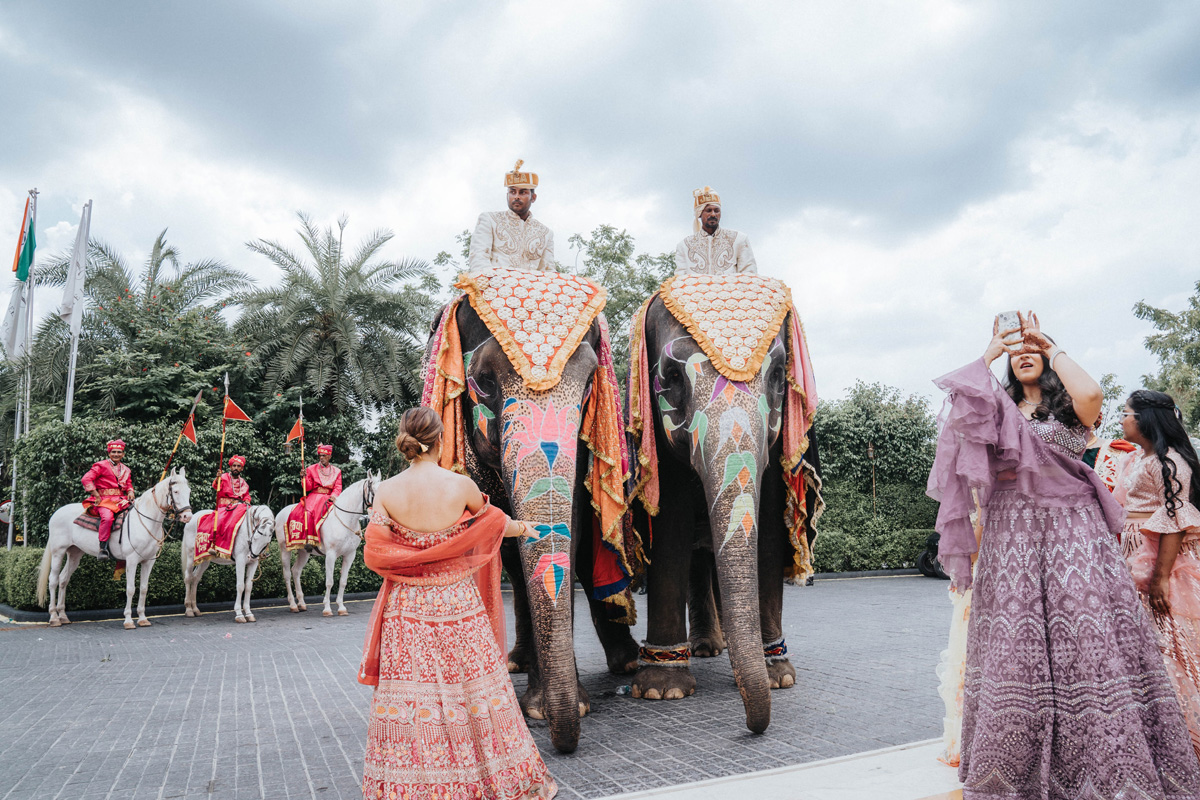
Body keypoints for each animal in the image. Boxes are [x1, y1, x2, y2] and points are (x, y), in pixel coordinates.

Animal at [36, 470, 192, 633]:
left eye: (189, 491)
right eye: (176, 491)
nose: (187, 516)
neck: (145, 521)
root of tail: (56, 513)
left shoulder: (148, 562)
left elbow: (143, 588)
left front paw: (142, 618)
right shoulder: (131, 560)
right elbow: (130, 589)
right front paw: (128, 620)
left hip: (74, 554)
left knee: (63, 579)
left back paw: (63, 616)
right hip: (58, 552)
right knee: (53, 580)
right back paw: (54, 617)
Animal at [274, 474, 376, 618]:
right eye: (374, 490)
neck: (346, 519)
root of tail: (280, 513)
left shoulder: (350, 555)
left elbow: (343, 581)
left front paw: (341, 607)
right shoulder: (331, 555)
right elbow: (329, 582)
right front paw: (327, 608)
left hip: (304, 552)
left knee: (296, 571)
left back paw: (301, 603)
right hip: (284, 549)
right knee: (287, 574)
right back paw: (293, 605)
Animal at [427, 266, 643, 753]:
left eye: (590, 386)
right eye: (484, 382)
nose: (566, 742)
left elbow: (575, 531)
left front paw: (564, 708)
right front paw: (541, 711)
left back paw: (628, 664)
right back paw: (517, 665)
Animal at [624, 272, 820, 734]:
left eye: (781, 373)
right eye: (671, 377)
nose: (752, 727)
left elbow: (769, 531)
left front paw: (779, 678)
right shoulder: (662, 449)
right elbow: (670, 529)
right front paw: (661, 690)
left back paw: (725, 648)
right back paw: (706, 650)